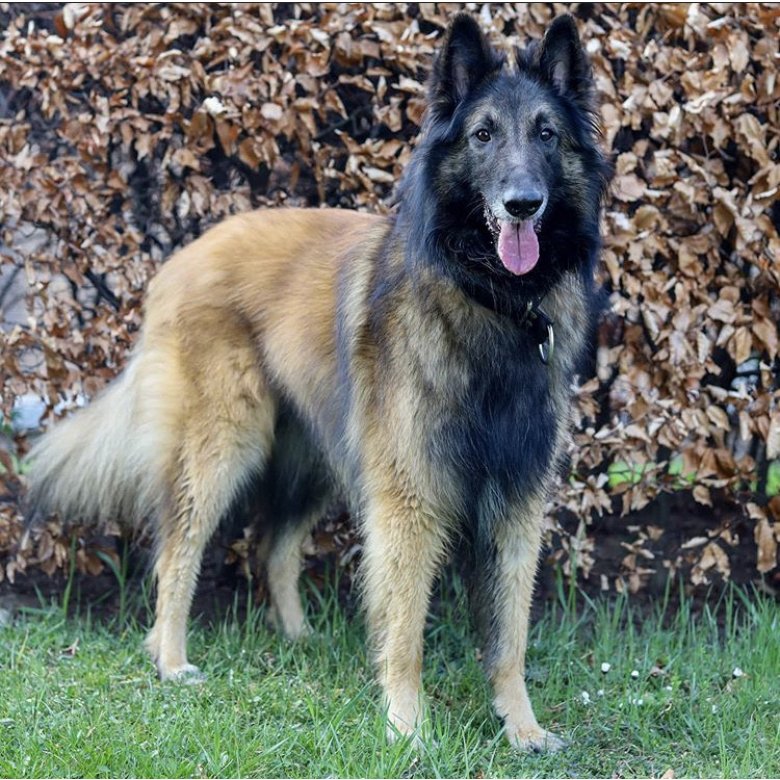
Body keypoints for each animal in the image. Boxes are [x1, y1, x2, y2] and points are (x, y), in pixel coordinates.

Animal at [24, 12, 608, 752]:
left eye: (546, 134)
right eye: (483, 135)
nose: (522, 204)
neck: (488, 300)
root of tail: (181, 257)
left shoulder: (516, 504)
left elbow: (510, 638)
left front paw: (523, 730)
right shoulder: (409, 503)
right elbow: (406, 630)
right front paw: (408, 728)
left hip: (316, 458)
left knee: (272, 545)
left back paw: (299, 639)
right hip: (224, 447)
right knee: (177, 551)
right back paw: (171, 659)